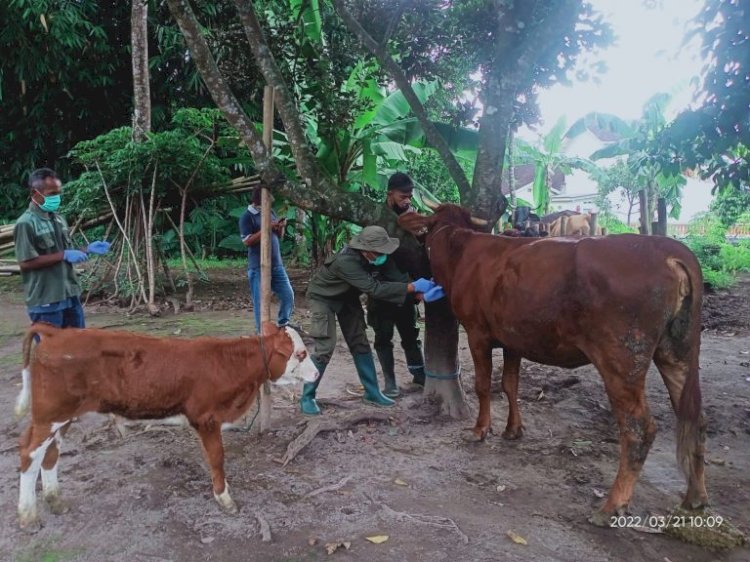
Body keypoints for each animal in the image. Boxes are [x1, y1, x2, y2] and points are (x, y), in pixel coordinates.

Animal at [16, 320, 318, 528]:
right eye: (301, 354)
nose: (316, 374)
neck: (230, 366)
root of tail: (57, 332)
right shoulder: (206, 418)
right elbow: (217, 458)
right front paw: (224, 498)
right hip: (49, 414)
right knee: (29, 454)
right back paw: (28, 515)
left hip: (63, 415)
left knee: (51, 453)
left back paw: (55, 500)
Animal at [402, 203, 708, 524]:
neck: (460, 249)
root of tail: (667, 248)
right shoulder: (513, 338)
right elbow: (510, 385)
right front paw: (513, 429)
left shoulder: (477, 332)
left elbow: (483, 385)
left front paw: (480, 429)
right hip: (677, 351)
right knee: (694, 418)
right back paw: (695, 498)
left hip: (622, 360)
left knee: (639, 429)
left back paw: (612, 506)